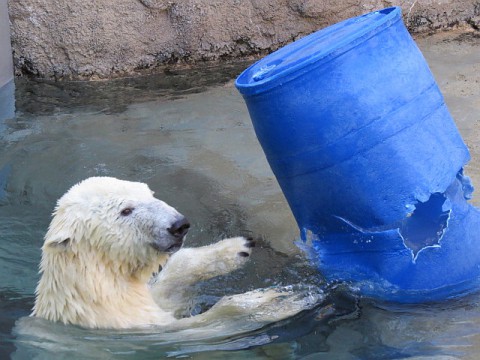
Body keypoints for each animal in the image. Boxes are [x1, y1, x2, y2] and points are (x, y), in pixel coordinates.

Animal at [31, 176, 320, 330]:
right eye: (126, 210)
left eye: (149, 192)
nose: (179, 225)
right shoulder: (132, 326)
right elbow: (201, 325)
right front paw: (273, 301)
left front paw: (237, 248)